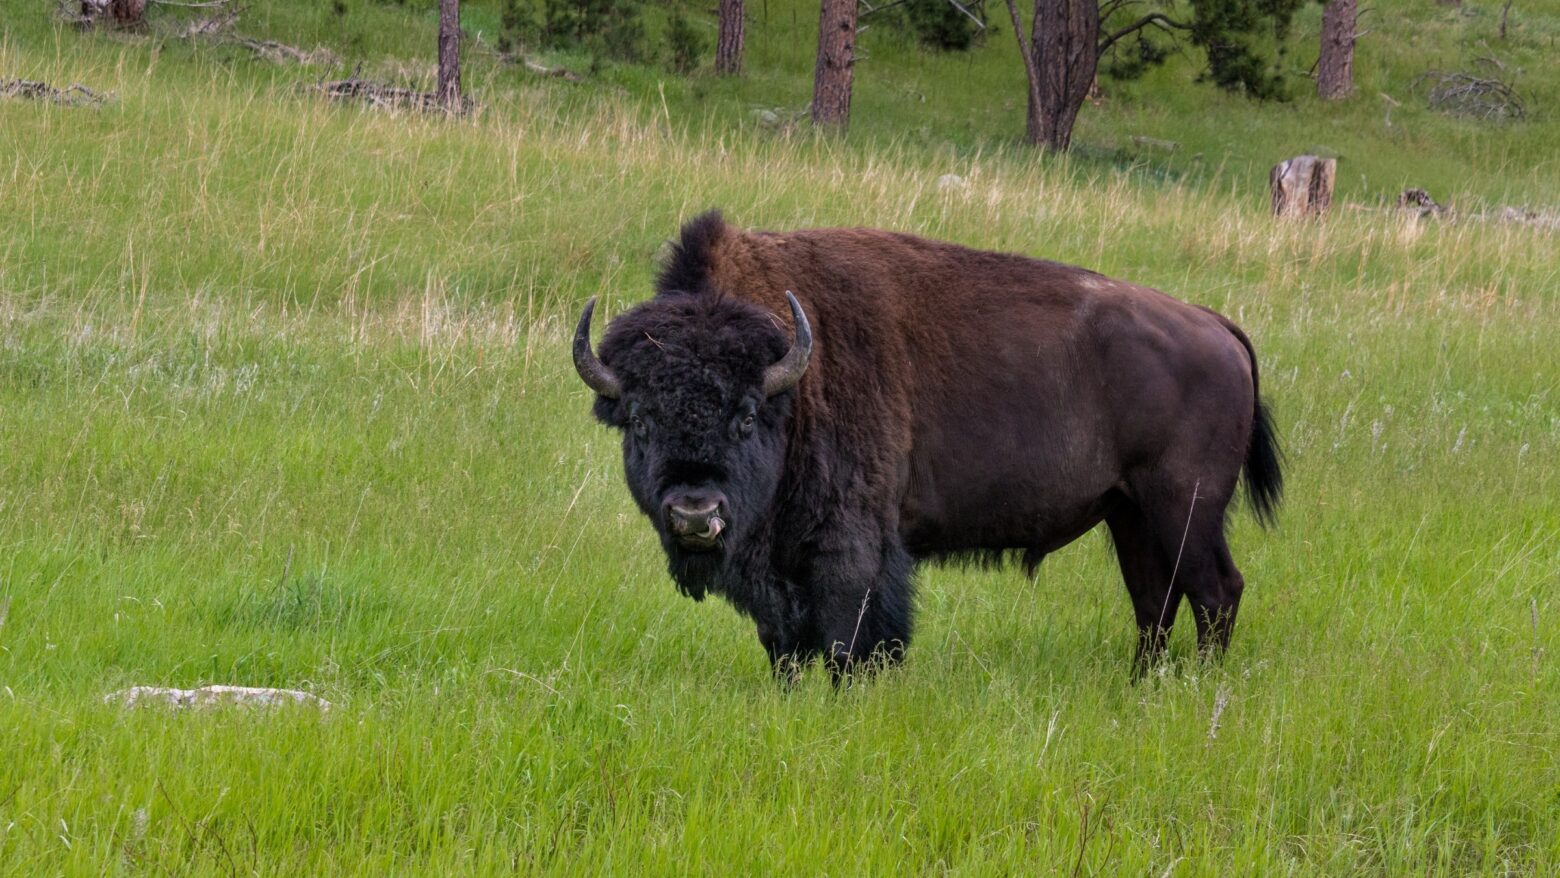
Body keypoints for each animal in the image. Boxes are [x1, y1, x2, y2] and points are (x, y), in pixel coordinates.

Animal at [574, 213, 1279, 679]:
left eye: (746, 416)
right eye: (639, 419)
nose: (694, 514)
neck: (793, 381)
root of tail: (1214, 324)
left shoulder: (852, 548)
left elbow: (850, 638)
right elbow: (784, 645)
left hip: (1185, 507)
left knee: (1216, 593)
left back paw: (1198, 688)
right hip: (1129, 513)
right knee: (1154, 600)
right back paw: (1139, 687)